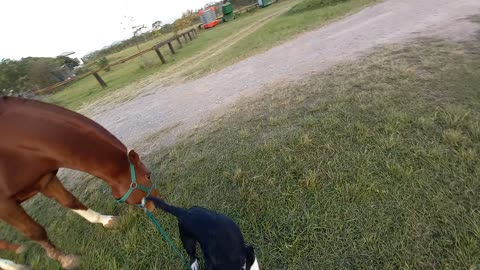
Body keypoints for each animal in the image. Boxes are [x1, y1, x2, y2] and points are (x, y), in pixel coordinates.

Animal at [0, 96, 160, 268]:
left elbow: (71, 202)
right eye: (148, 176)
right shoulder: (5, 205)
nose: (157, 203)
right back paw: (12, 265)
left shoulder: (45, 180)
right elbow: (35, 232)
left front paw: (106, 220)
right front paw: (66, 259)